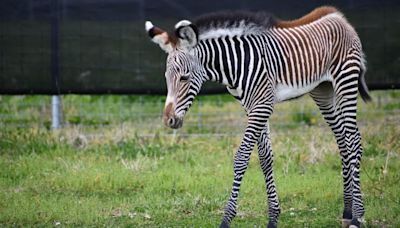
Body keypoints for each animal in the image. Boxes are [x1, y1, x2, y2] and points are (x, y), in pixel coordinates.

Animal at [145, 6, 370, 227]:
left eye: (184, 78)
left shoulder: (262, 105)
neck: (235, 63)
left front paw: (227, 218)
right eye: (166, 78)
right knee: (342, 140)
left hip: (345, 81)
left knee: (354, 141)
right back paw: (347, 211)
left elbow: (242, 157)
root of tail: (338, 16)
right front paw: (273, 217)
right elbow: (265, 158)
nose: (168, 120)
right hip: (323, 91)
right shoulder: (252, 106)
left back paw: (357, 216)